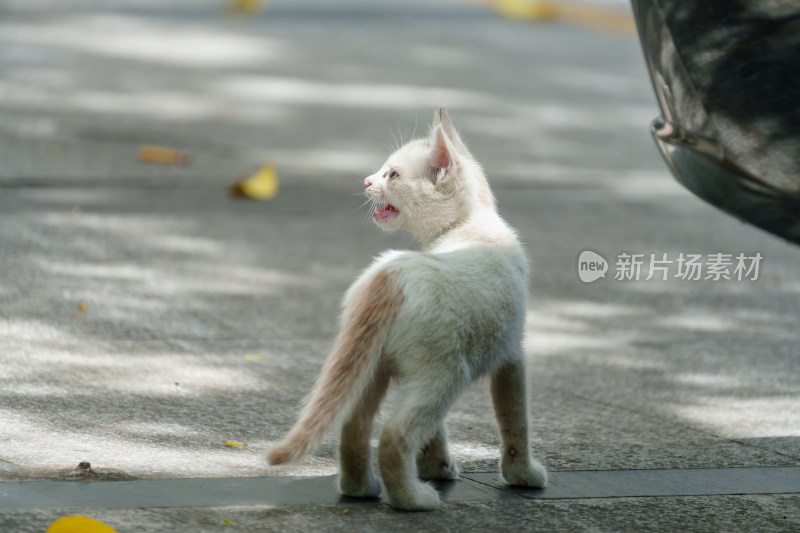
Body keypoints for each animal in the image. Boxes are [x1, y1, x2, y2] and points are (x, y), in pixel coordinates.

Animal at [266, 106, 548, 510]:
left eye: (393, 174)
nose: (366, 181)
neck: (468, 222)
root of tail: (390, 276)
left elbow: (436, 431)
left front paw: (438, 466)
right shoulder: (512, 354)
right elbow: (515, 418)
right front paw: (522, 474)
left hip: (371, 365)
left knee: (355, 425)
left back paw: (360, 488)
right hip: (447, 372)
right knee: (393, 435)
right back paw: (413, 499)